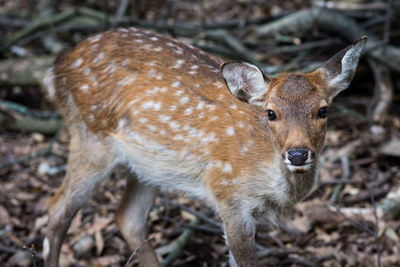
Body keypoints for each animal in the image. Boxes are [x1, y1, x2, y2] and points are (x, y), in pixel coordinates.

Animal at [41, 27, 366, 267]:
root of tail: (56, 68)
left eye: (323, 110)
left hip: (148, 165)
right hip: (90, 136)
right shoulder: (229, 195)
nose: (297, 154)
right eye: (271, 112)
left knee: (128, 218)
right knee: (57, 208)